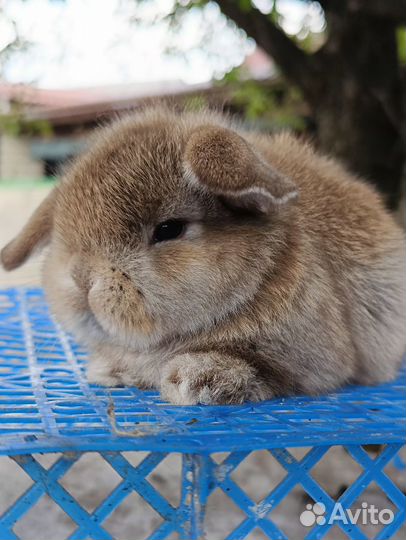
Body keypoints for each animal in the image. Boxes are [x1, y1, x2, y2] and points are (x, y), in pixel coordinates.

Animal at [0, 107, 406, 402]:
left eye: (169, 229)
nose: (82, 277)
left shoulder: (311, 364)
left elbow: (266, 373)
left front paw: (194, 380)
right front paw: (109, 371)